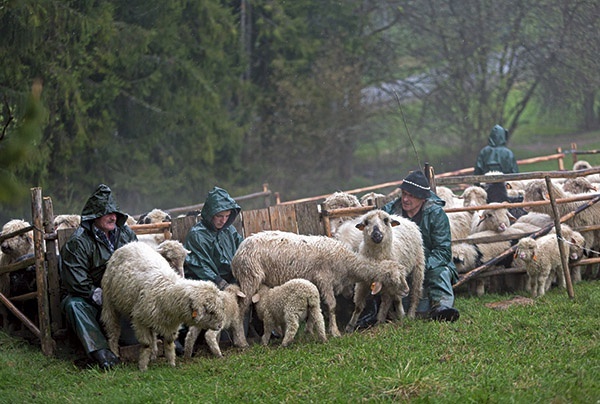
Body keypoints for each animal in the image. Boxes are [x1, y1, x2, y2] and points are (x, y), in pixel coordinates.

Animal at [101, 241, 225, 370]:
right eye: (209, 311)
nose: (219, 326)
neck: (166, 290)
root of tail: (130, 244)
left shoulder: (170, 323)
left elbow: (169, 344)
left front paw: (171, 364)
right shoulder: (140, 320)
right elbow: (146, 344)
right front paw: (143, 367)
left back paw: (154, 353)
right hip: (108, 300)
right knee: (112, 328)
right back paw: (114, 352)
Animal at [230, 230, 408, 338]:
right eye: (393, 278)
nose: (406, 291)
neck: (347, 263)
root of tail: (238, 252)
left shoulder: (317, 284)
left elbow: (316, 308)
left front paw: (309, 331)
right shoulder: (324, 279)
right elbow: (332, 306)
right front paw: (335, 332)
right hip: (249, 276)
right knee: (241, 309)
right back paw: (242, 341)